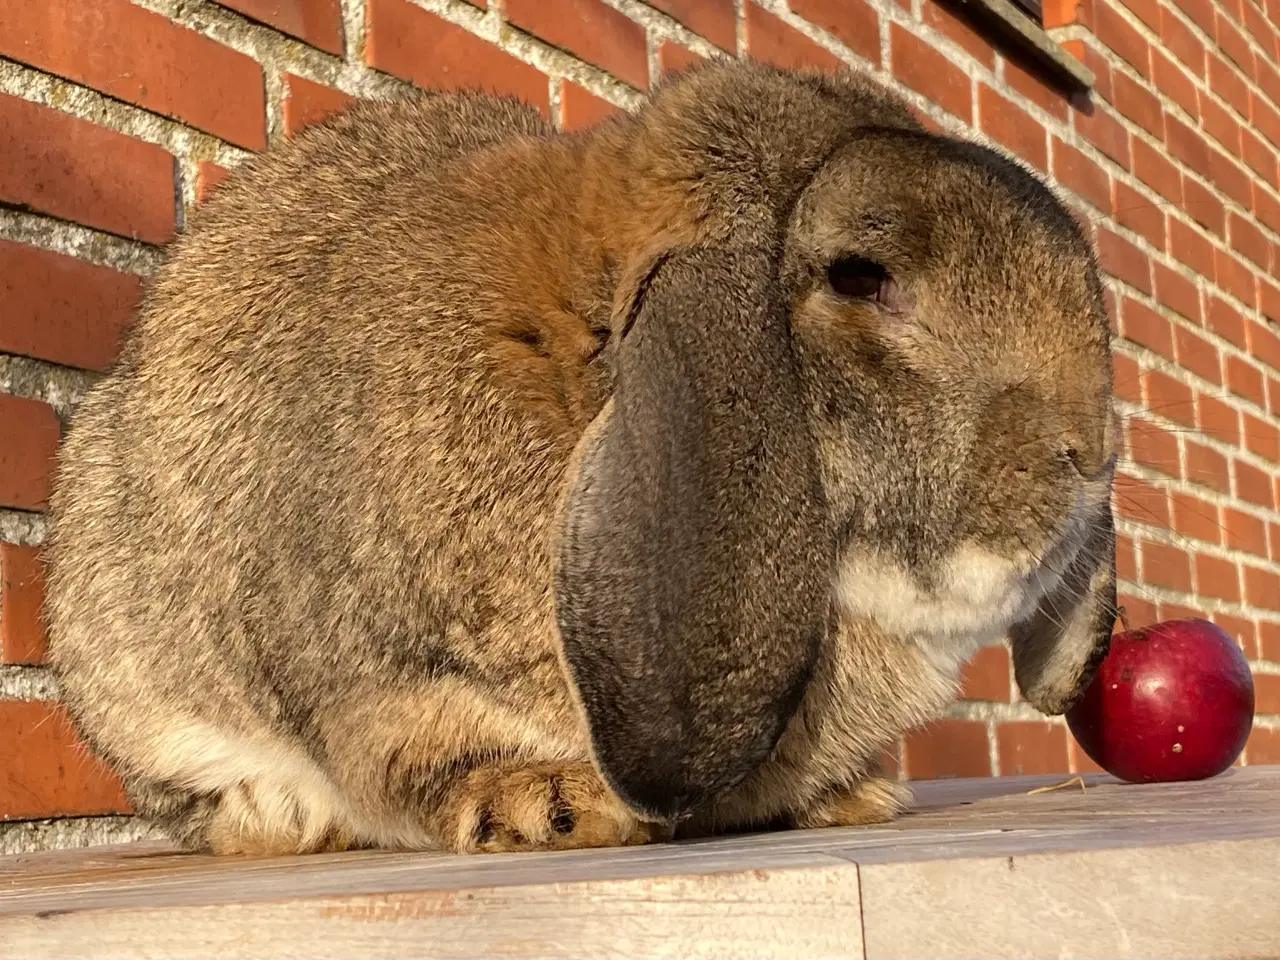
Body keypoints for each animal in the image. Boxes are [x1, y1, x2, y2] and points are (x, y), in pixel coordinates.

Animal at [45, 60, 1116, 855]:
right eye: (862, 277)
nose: (1092, 455)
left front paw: (854, 798)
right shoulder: (384, 686)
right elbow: (418, 759)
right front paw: (548, 808)